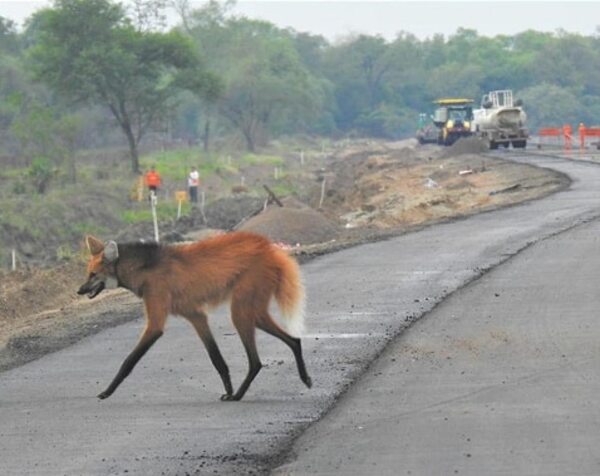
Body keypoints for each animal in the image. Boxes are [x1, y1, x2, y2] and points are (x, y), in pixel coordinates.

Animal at [77, 232, 312, 400]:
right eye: (87, 274)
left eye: (93, 275)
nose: (79, 290)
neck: (146, 270)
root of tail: (270, 249)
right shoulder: (195, 315)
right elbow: (216, 358)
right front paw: (227, 389)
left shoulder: (157, 319)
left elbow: (129, 360)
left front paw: (106, 392)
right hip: (254, 311)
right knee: (294, 340)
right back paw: (305, 378)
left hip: (240, 310)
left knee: (256, 361)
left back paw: (238, 396)